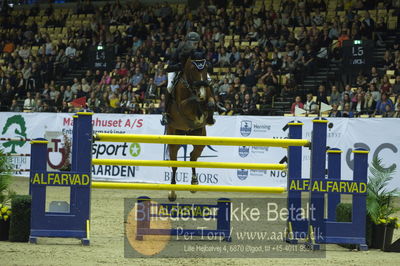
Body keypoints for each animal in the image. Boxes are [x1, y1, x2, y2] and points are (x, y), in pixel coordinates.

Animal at [166, 56, 216, 202]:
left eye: (206, 68)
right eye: (193, 70)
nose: (202, 93)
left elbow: (210, 103)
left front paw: (207, 115)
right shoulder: (183, 105)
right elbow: (192, 101)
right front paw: (199, 109)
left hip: (200, 137)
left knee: (193, 156)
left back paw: (194, 184)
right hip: (174, 138)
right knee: (174, 163)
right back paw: (172, 192)